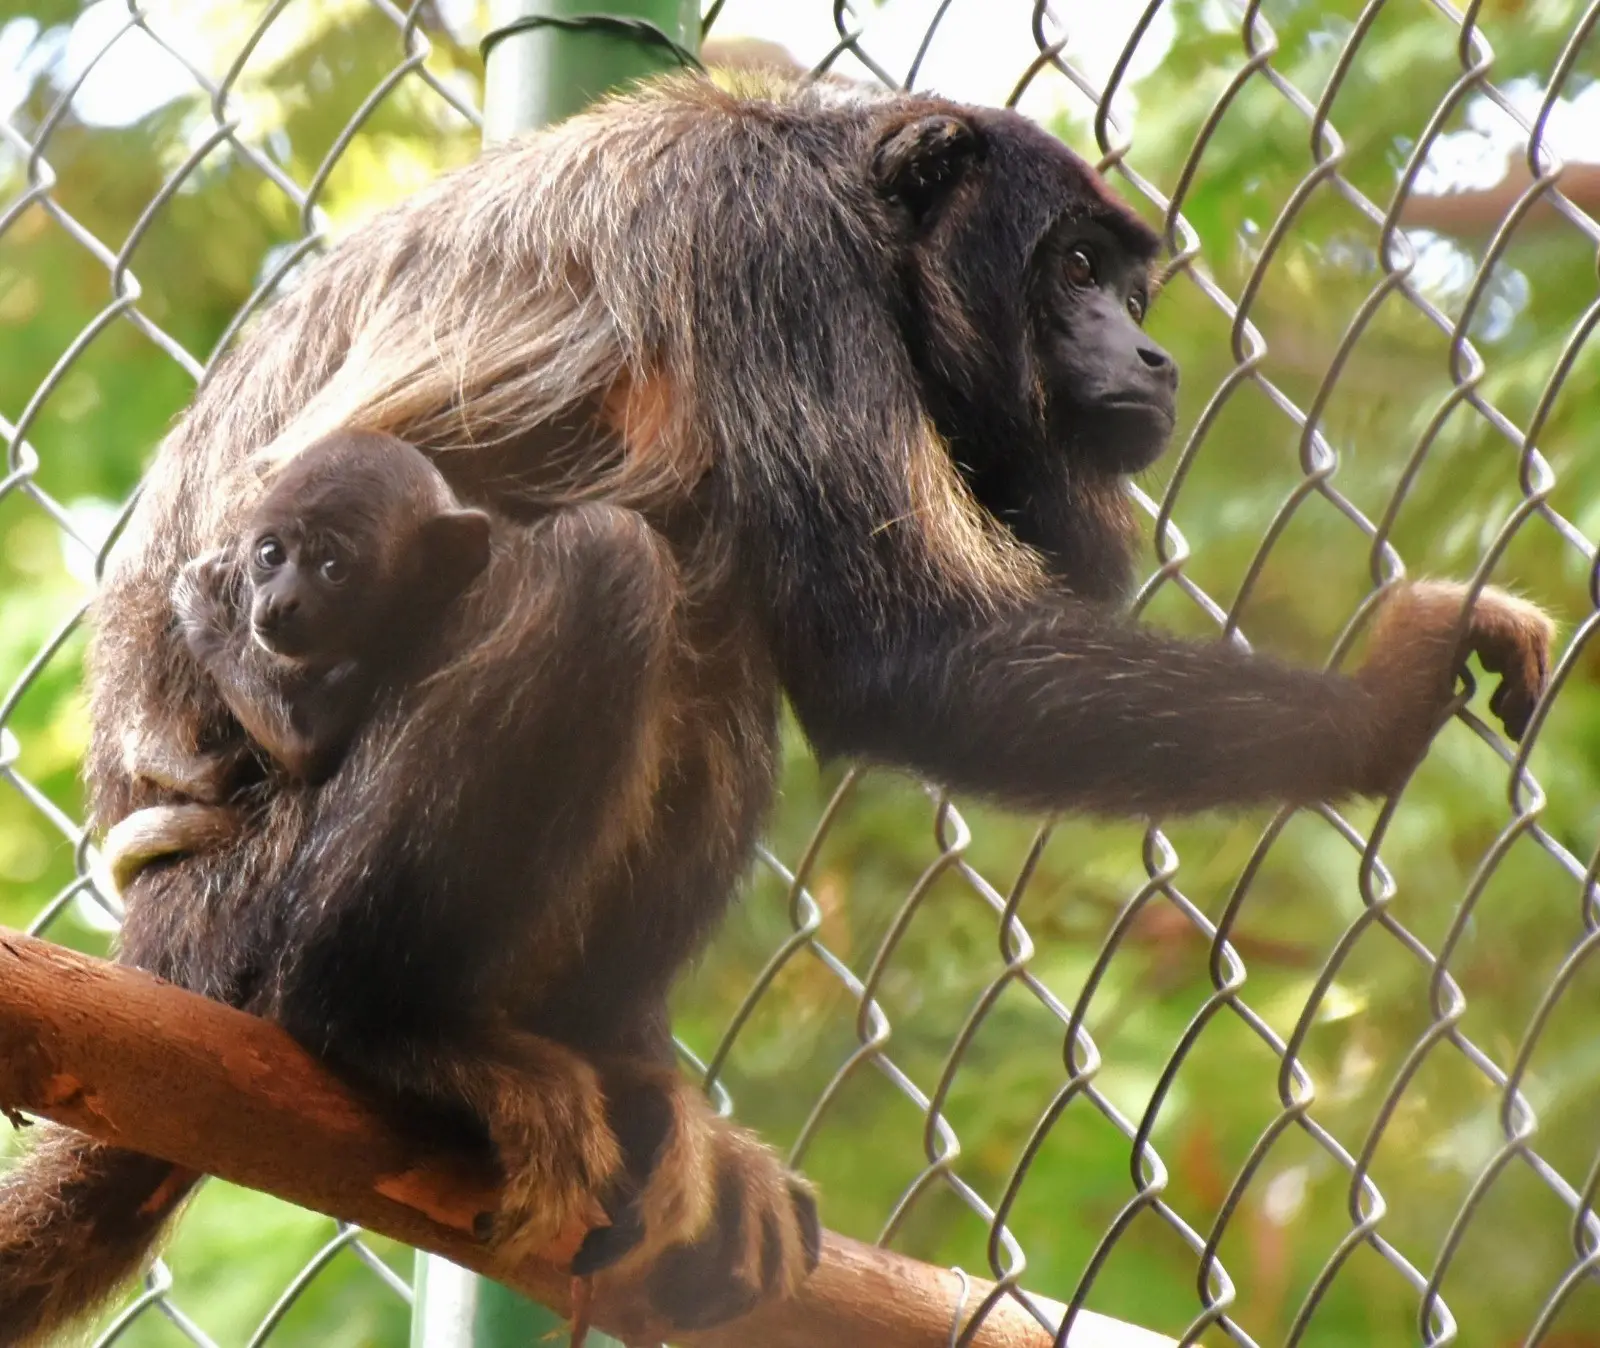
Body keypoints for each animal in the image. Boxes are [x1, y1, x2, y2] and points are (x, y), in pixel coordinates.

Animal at [0, 72, 1552, 1345]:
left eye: (1131, 287)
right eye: (1071, 269)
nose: (1155, 357)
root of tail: (148, 922)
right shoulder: (767, 251)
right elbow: (908, 651)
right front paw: (1388, 698)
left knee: (713, 654)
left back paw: (622, 1068)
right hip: (236, 915)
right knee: (616, 574)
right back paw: (379, 1029)